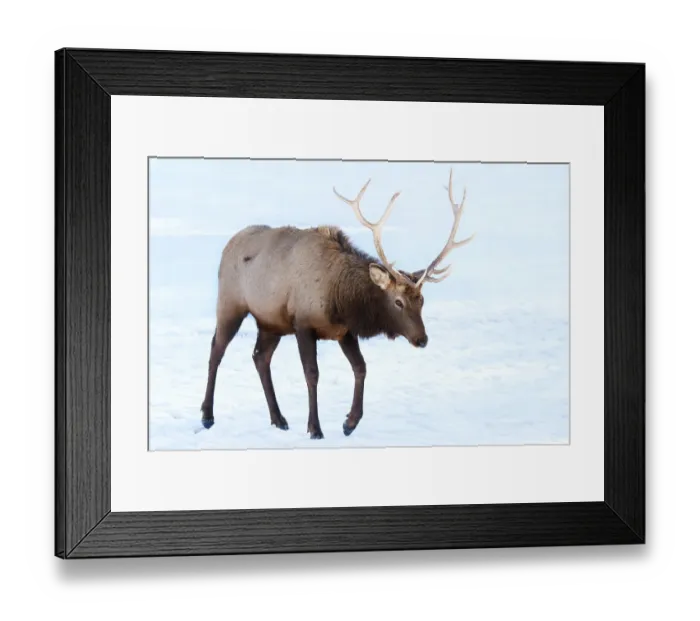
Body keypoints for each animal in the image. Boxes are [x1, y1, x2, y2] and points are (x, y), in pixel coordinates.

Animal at [199, 169, 475, 439]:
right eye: (398, 302)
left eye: (422, 301)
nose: (422, 339)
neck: (341, 299)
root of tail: (227, 246)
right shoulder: (303, 324)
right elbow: (312, 374)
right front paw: (315, 428)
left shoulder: (344, 331)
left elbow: (360, 368)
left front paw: (350, 422)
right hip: (230, 305)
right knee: (216, 350)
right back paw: (207, 415)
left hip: (270, 323)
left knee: (259, 357)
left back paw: (278, 419)